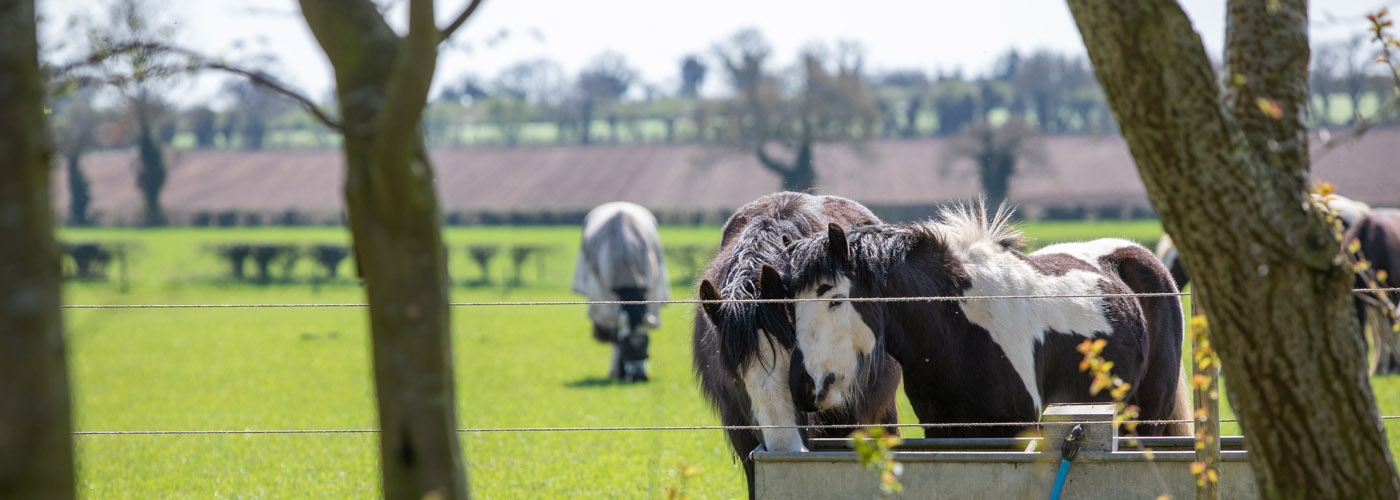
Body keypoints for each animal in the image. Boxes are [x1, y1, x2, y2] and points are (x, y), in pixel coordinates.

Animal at [574, 200, 672, 380]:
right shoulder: (606, 302)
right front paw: (617, 372)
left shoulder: (651, 294)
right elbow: (615, 335)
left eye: (646, 347)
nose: (639, 377)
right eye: (627, 347)